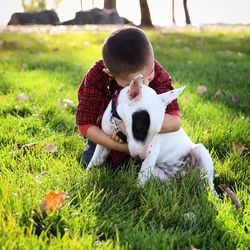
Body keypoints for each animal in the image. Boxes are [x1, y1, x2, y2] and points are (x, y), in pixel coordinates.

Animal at [87, 75, 215, 192]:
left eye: (158, 132)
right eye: (140, 130)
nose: (141, 158)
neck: (118, 120)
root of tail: (181, 176)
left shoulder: (152, 152)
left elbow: (141, 180)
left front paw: (136, 194)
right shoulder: (104, 141)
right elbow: (95, 160)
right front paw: (86, 176)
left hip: (200, 151)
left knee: (210, 186)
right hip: (158, 173)